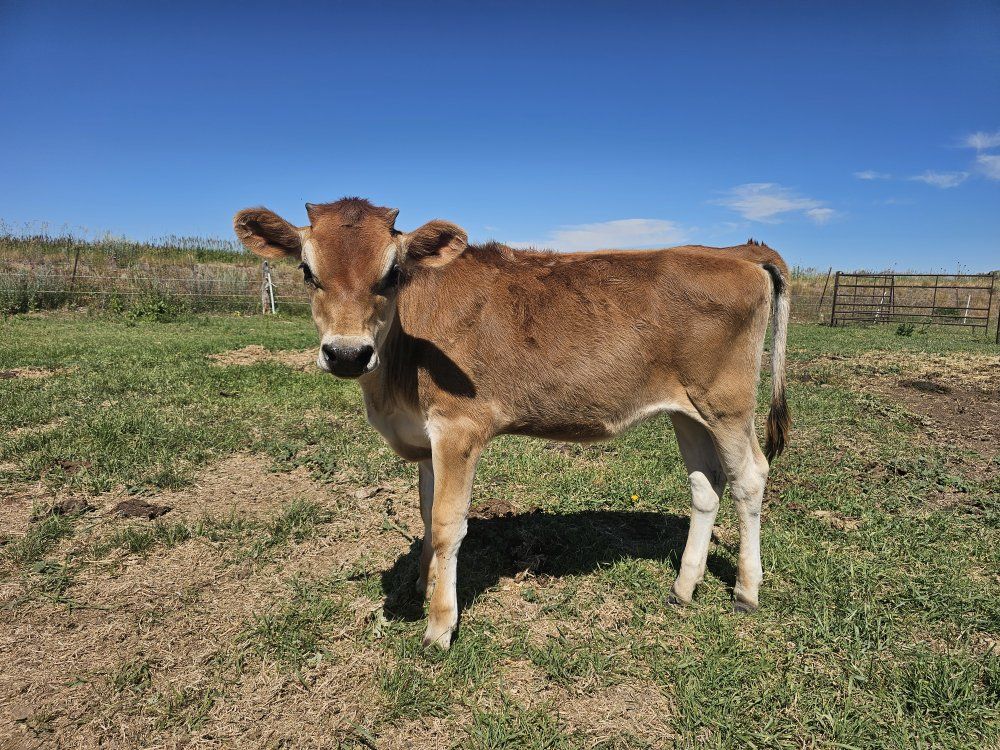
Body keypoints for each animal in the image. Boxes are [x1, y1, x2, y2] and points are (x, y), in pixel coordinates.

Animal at [234, 197, 790, 649]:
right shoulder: (426, 438)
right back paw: (683, 586)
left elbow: (446, 524)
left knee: (749, 477)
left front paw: (439, 625)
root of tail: (736, 250)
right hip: (687, 409)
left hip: (728, 403)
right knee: (706, 486)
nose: (347, 354)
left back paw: (746, 590)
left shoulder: (458, 427)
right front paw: (424, 585)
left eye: (392, 273)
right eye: (307, 270)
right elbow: (425, 515)